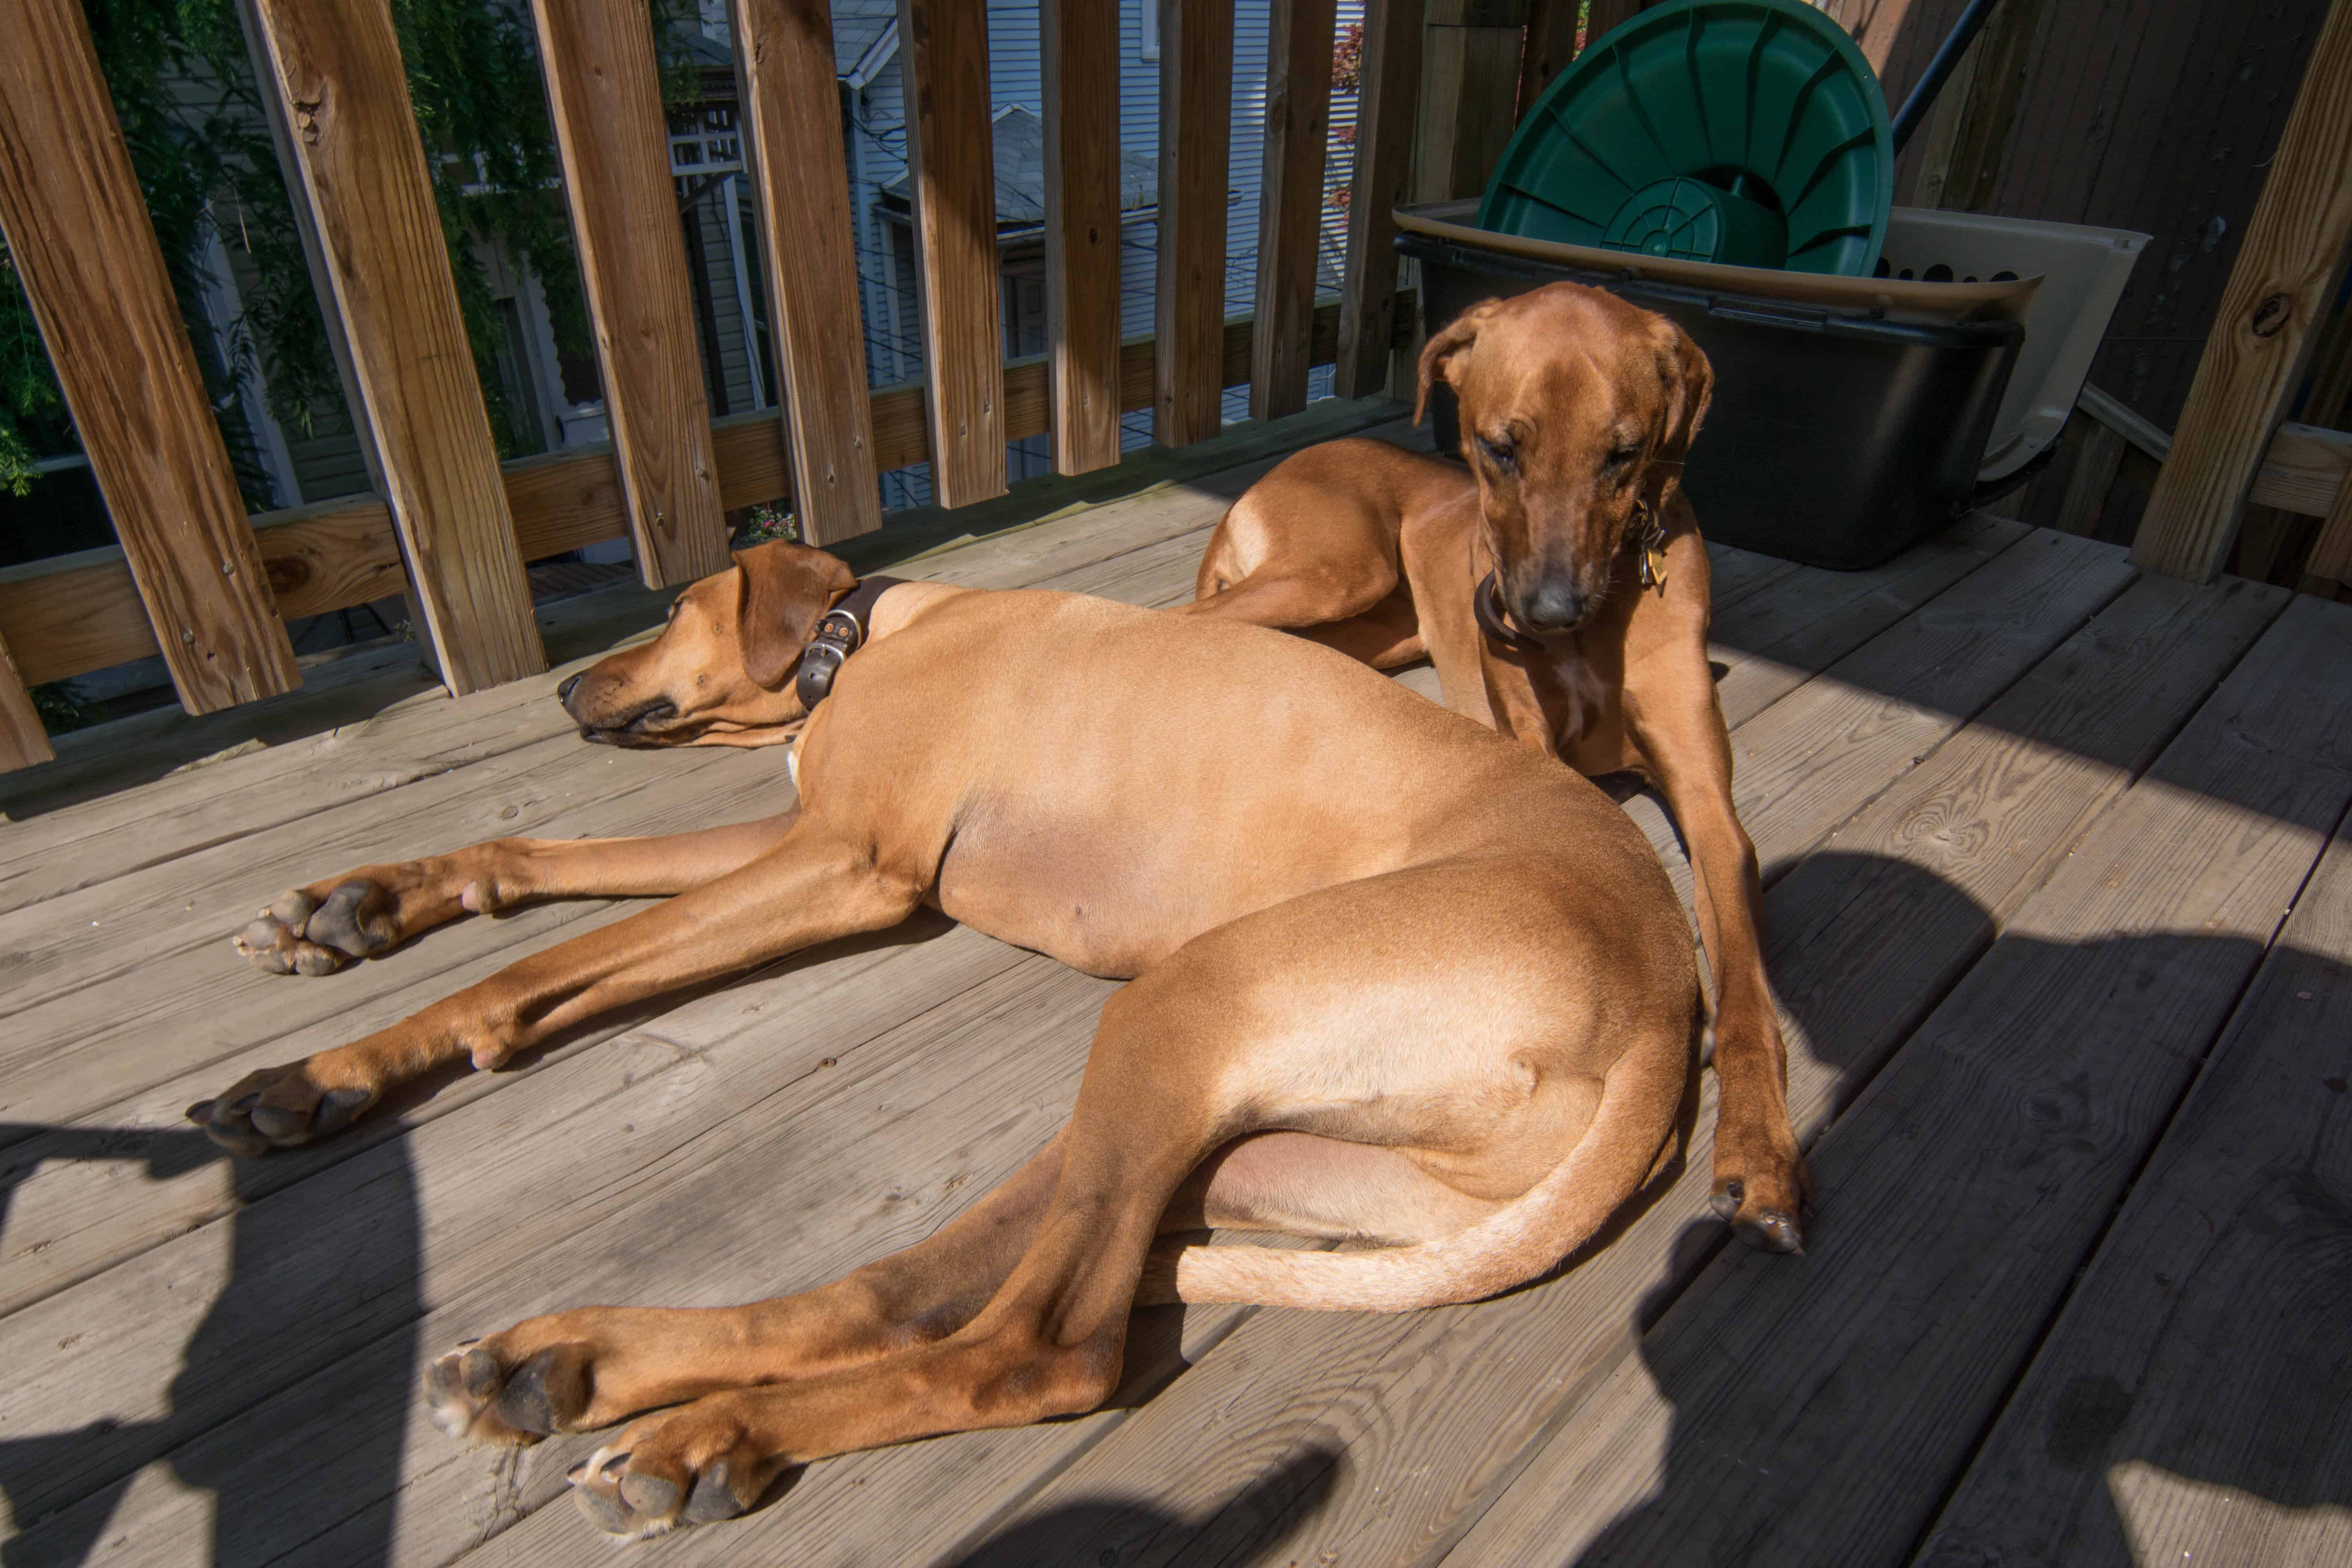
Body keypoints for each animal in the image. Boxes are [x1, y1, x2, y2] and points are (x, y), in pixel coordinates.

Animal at [179, 543, 1693, 1542]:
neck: (869, 631)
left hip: (1178, 1005)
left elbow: (553, 962)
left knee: (1034, 1346)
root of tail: (1665, 994)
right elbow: (548, 867)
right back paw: (577, 1367)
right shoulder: (797, 838)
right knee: (902, 1293)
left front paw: (328, 1064)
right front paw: (354, 913)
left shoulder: (847, 864)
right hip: (1228, 1139)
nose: (562, 692)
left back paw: (716, 1428)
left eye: (670, 609)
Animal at [1185, 282, 1806, 1260]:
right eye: (1498, 447)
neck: (1602, 624)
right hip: (1339, 566)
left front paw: (1759, 1149)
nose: (1544, 613)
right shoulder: (1542, 749)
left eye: (1623, 454)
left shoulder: (1710, 804)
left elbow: (1746, 983)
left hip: (1370, 622)